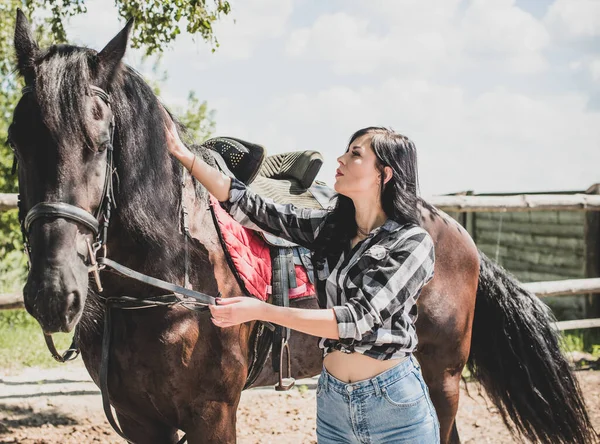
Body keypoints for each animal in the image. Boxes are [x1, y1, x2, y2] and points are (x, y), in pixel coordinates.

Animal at [9, 11, 596, 444]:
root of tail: (452, 230)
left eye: (100, 143)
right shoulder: (142, 423)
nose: (54, 293)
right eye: (17, 141)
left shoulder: (212, 414)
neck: (170, 277)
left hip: (444, 373)